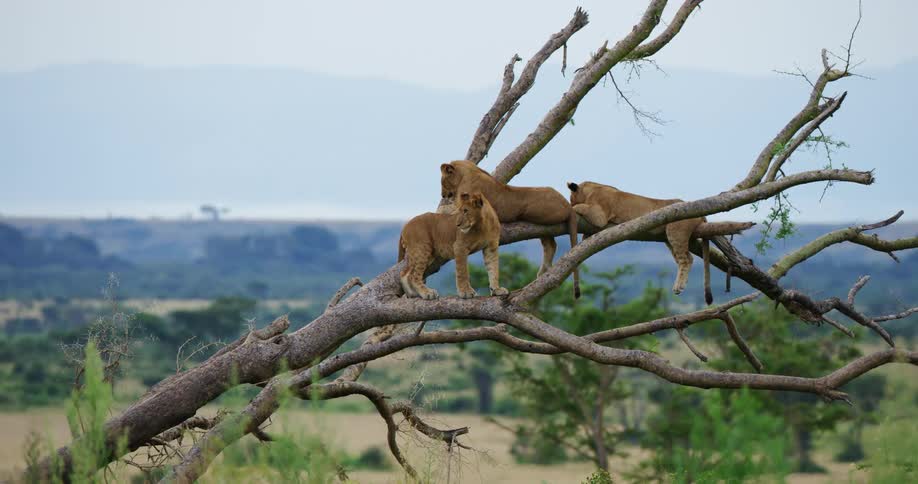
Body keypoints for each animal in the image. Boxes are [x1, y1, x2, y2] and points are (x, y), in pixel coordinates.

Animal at [438, 160, 581, 298]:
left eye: (442, 182)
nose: (443, 195)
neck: (466, 174)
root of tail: (568, 205)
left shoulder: (466, 204)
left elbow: (447, 210)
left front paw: (441, 209)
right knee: (550, 244)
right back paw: (543, 272)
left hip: (535, 213)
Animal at [567, 181, 714, 304]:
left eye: (570, 199)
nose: (570, 203)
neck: (590, 190)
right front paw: (584, 239)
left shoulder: (600, 215)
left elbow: (583, 207)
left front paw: (573, 208)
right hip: (669, 238)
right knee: (687, 258)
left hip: (675, 231)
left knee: (686, 259)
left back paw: (679, 287)